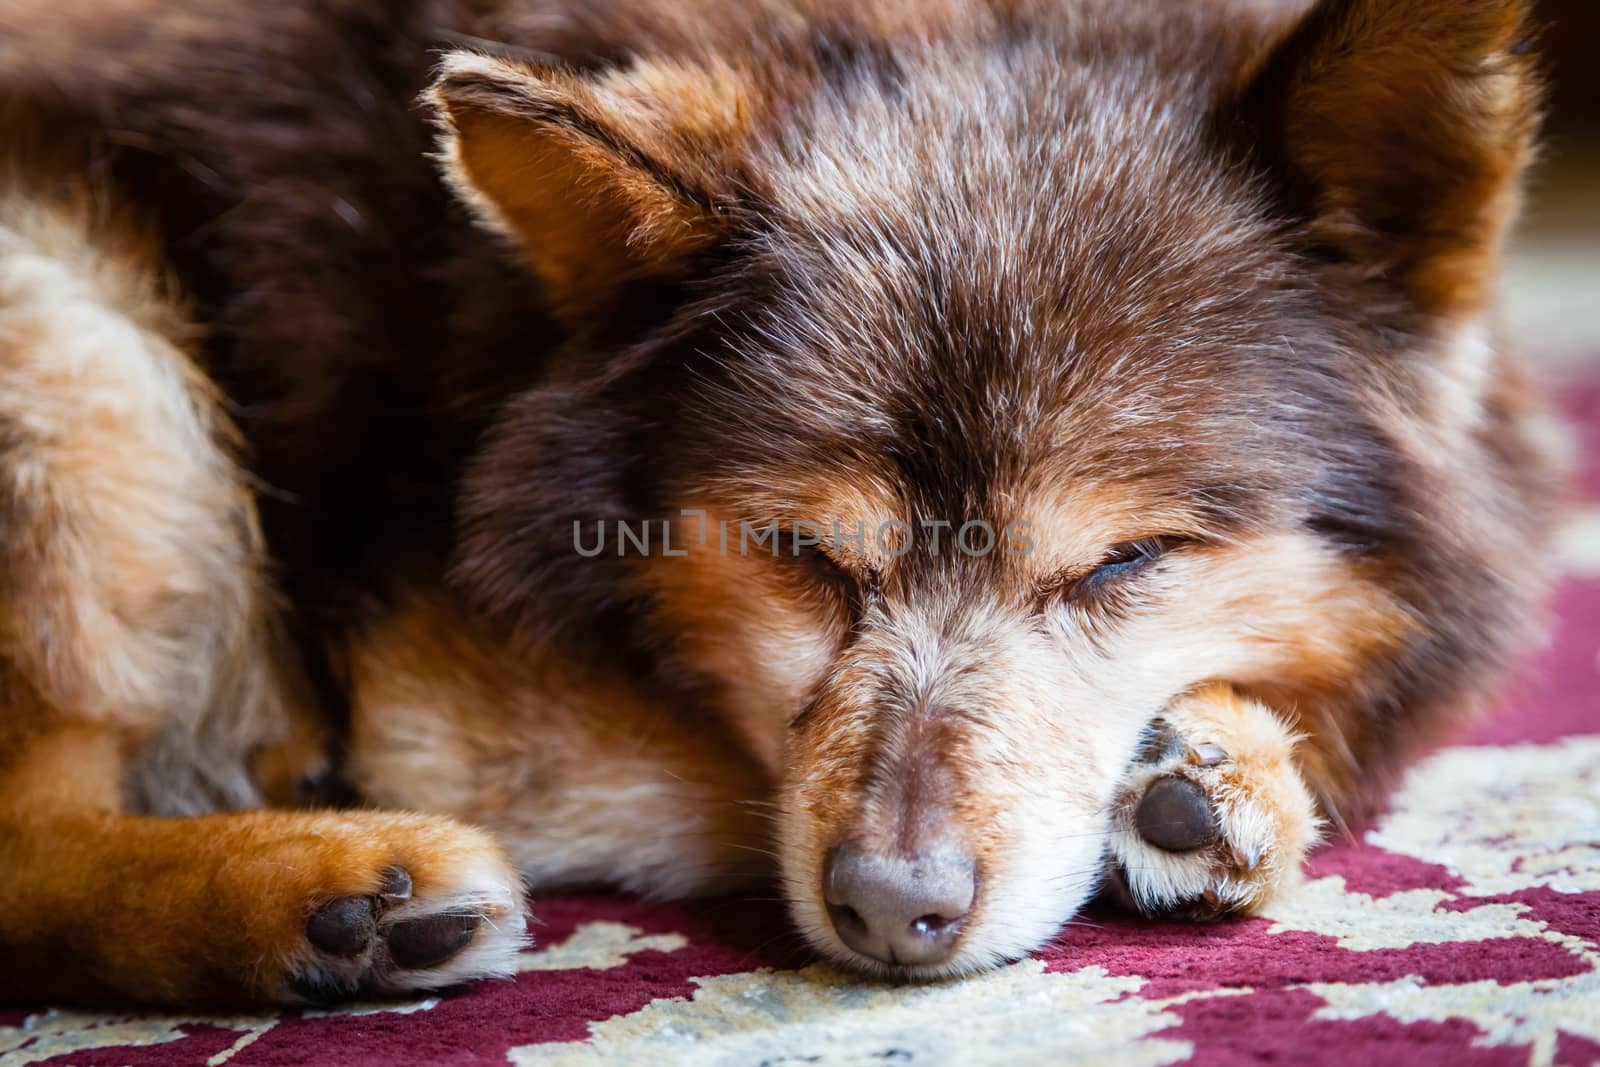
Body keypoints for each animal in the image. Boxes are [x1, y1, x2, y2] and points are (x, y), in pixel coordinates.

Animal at [0, 0, 1555, 1004]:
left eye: (1127, 561)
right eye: (800, 553)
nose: (889, 908)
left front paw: (1210, 775)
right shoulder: (442, 698)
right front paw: (1228, 778)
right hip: (87, 339)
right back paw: (331, 891)